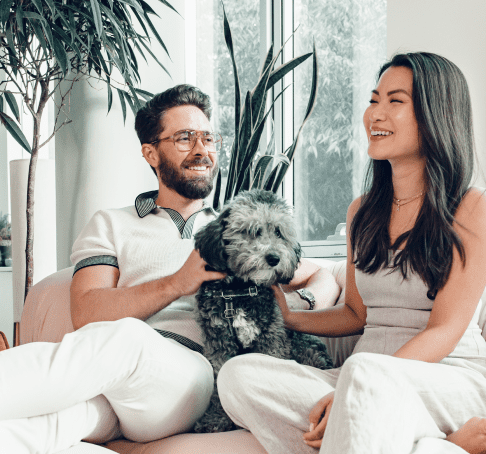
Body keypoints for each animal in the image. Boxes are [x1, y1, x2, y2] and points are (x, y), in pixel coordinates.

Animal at [194, 188, 334, 432]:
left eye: (279, 232)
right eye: (251, 230)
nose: (274, 258)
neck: (238, 292)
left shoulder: (271, 338)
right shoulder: (219, 343)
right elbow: (219, 380)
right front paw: (217, 418)